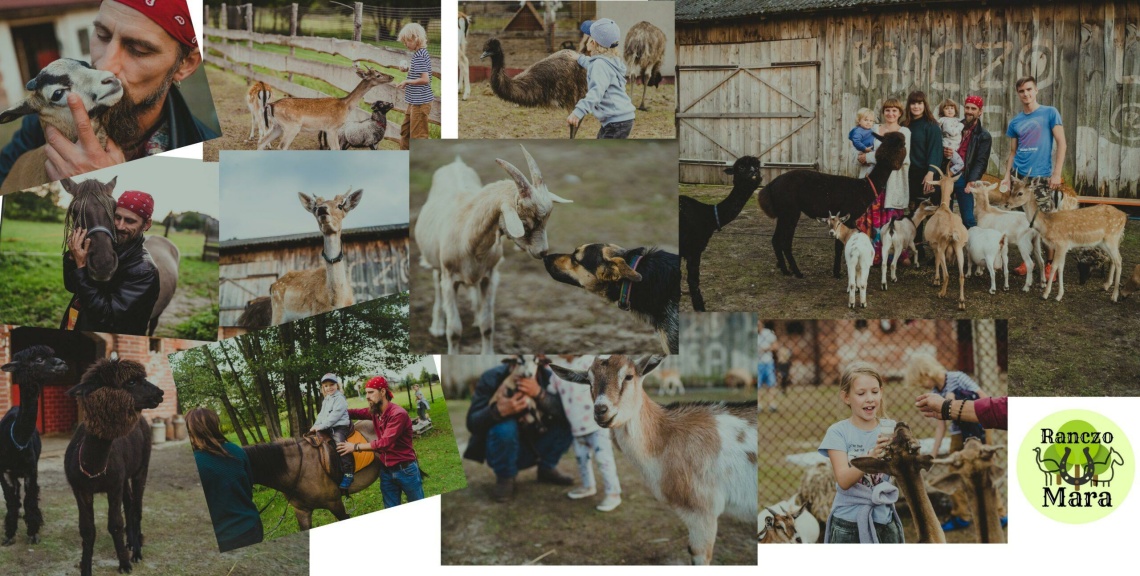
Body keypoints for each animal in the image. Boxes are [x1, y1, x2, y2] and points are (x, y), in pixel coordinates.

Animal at [412, 144, 570, 351]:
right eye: (524, 223)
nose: (542, 252)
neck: (469, 240)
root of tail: (456, 163)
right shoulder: (449, 278)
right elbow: (454, 331)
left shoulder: (490, 275)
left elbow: (487, 326)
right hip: (436, 264)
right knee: (436, 284)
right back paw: (437, 326)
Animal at [679, 156, 761, 310]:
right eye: (741, 167)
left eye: (758, 166)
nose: (754, 173)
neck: (708, 216)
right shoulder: (693, 249)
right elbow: (693, 283)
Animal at [756, 133, 907, 279]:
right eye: (902, 144)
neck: (864, 188)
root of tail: (771, 184)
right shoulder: (849, 216)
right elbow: (842, 245)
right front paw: (839, 272)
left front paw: (837, 271)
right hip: (790, 211)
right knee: (785, 242)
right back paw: (797, 272)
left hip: (783, 213)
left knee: (776, 240)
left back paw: (785, 270)